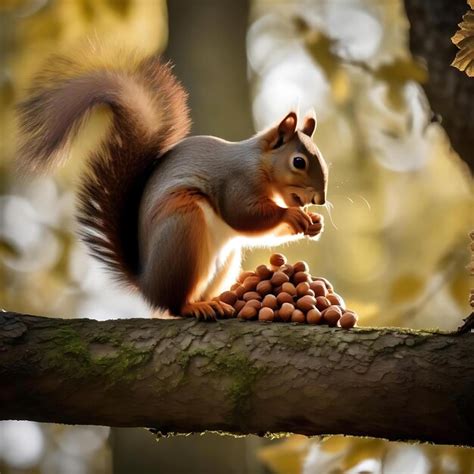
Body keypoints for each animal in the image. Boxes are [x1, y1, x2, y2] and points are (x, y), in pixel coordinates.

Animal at [16, 50, 328, 320]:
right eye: (298, 162)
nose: (321, 200)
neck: (259, 163)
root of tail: (148, 284)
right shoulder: (237, 182)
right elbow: (243, 216)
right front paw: (292, 215)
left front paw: (315, 224)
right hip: (183, 228)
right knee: (176, 305)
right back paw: (196, 307)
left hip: (223, 259)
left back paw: (218, 300)